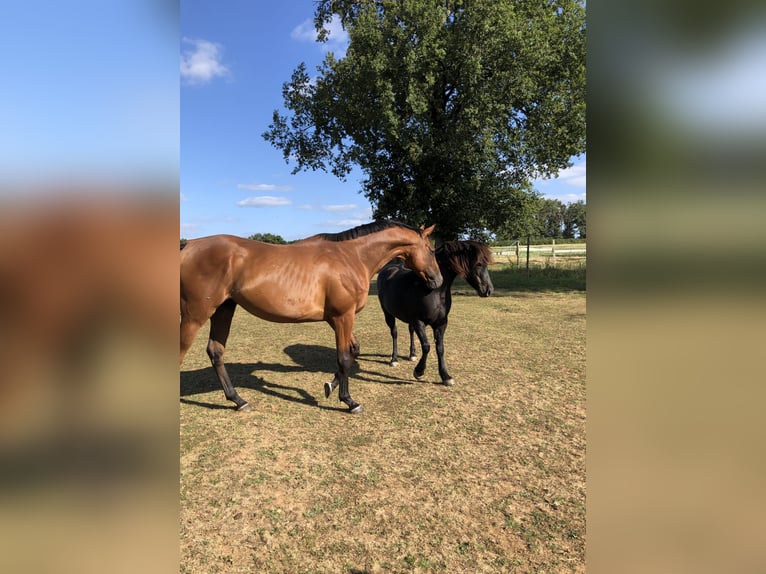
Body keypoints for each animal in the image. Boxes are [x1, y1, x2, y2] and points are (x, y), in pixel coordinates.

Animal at [182, 220, 444, 414]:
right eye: (431, 250)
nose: (438, 280)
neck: (351, 256)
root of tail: (189, 245)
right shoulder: (343, 317)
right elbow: (344, 358)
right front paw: (349, 401)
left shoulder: (336, 319)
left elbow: (353, 350)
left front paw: (330, 386)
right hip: (195, 315)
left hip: (224, 309)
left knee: (216, 351)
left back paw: (238, 400)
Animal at [378, 240, 498, 388]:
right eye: (479, 263)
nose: (488, 290)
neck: (434, 290)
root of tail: (388, 269)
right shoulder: (419, 321)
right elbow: (427, 346)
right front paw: (419, 372)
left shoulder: (441, 323)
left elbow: (440, 348)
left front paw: (445, 376)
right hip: (388, 313)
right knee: (394, 333)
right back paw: (394, 359)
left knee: (410, 331)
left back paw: (412, 354)